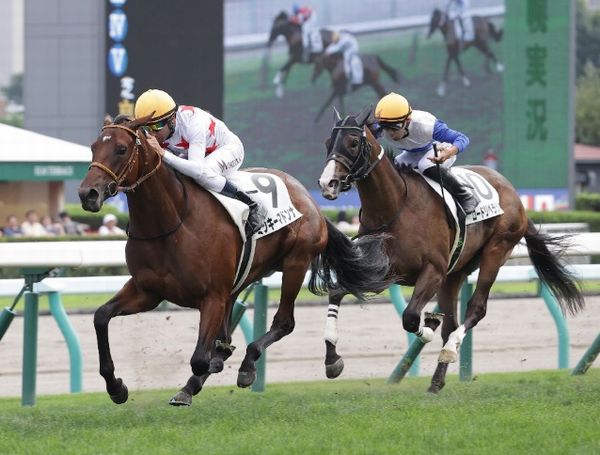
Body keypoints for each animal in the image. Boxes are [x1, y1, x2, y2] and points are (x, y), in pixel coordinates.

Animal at [78, 115, 395, 406]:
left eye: (121, 149)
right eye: (93, 147)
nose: (87, 194)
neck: (171, 222)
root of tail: (309, 199)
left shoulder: (212, 296)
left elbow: (200, 358)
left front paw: (207, 374)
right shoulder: (148, 291)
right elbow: (100, 317)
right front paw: (116, 387)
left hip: (296, 262)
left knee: (284, 322)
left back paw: (250, 366)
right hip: (244, 275)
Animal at [317, 107, 585, 393]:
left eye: (353, 143)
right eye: (327, 143)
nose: (327, 183)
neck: (395, 206)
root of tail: (515, 196)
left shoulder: (432, 270)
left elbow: (410, 317)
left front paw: (429, 325)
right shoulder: (381, 271)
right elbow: (337, 291)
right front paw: (332, 360)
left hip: (496, 251)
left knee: (475, 309)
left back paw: (449, 349)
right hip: (455, 272)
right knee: (452, 323)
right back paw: (436, 380)